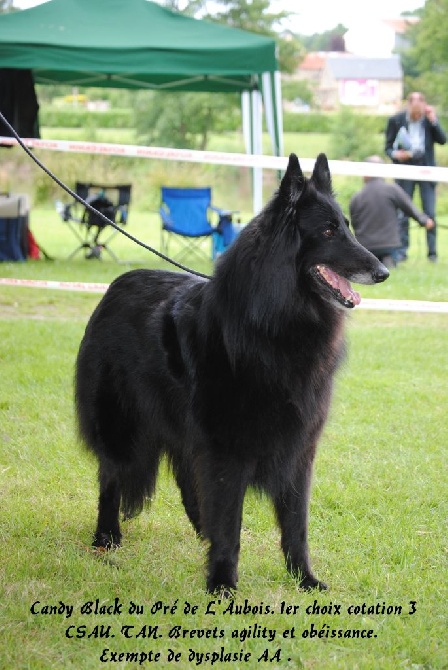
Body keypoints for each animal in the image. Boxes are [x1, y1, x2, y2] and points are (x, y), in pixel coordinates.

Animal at [76, 156, 388, 592]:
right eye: (328, 231)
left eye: (347, 226)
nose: (383, 271)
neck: (276, 323)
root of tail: (113, 288)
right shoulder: (227, 449)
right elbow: (230, 521)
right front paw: (222, 583)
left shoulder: (298, 449)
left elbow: (296, 524)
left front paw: (304, 578)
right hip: (120, 423)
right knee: (111, 476)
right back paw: (106, 539)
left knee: (185, 478)